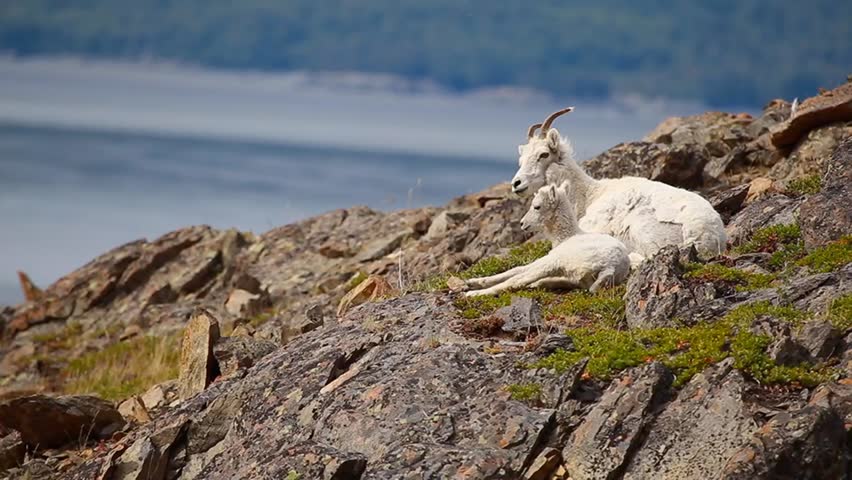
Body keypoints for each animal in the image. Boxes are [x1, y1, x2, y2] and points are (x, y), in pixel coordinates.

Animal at [464, 183, 630, 297]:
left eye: (537, 206)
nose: (522, 224)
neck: (566, 237)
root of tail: (610, 267)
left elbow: (517, 271)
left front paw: (474, 284)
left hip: (557, 261)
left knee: (519, 279)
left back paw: (474, 294)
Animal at [510, 107, 727, 261]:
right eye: (521, 159)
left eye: (544, 154)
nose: (516, 184)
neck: (588, 196)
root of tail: (706, 234)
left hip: (643, 228)